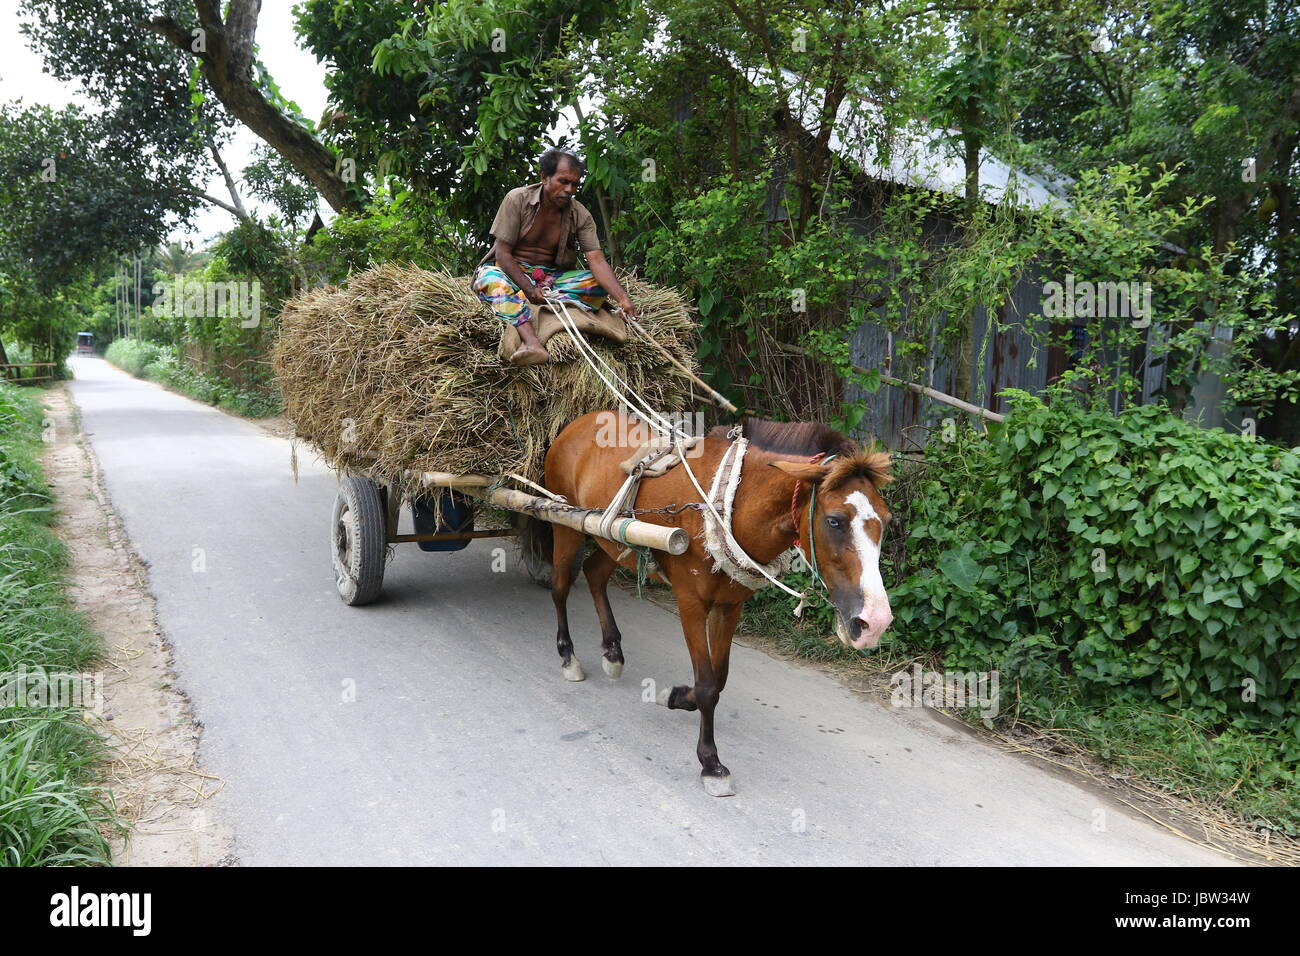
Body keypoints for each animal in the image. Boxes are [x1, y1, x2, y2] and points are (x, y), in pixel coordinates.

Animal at [521, 410, 894, 796]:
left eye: (887, 520)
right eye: (834, 521)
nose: (875, 622)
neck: (727, 502)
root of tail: (578, 422)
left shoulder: (729, 606)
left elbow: (719, 678)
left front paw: (674, 696)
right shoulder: (690, 602)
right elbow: (706, 685)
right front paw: (711, 763)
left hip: (615, 537)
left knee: (595, 574)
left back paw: (612, 652)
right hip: (566, 523)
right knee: (560, 587)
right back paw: (568, 656)